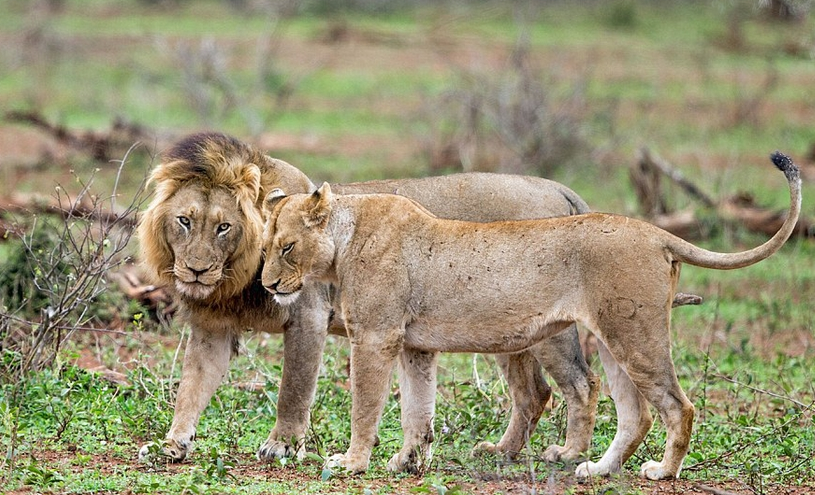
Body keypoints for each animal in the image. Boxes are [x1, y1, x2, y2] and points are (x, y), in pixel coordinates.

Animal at [137, 132, 608, 464]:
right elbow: (191, 388)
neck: (234, 278)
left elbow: (294, 389)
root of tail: (557, 188)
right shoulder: (212, 328)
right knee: (533, 392)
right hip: (506, 331)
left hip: (545, 327)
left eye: (224, 227)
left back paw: (567, 456)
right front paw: (172, 444)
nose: (196, 270)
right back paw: (501, 453)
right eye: (184, 221)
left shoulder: (309, 316)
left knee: (580, 383)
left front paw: (282, 446)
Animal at [262, 152, 804, 480]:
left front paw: (352, 462)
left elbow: (366, 406)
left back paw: (660, 472)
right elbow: (418, 410)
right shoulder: (415, 345)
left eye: (286, 247)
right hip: (613, 338)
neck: (344, 238)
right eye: (263, 249)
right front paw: (406, 461)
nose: (266, 286)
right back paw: (596, 470)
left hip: (633, 336)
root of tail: (656, 233)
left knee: (675, 406)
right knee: (635, 412)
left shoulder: (375, 337)